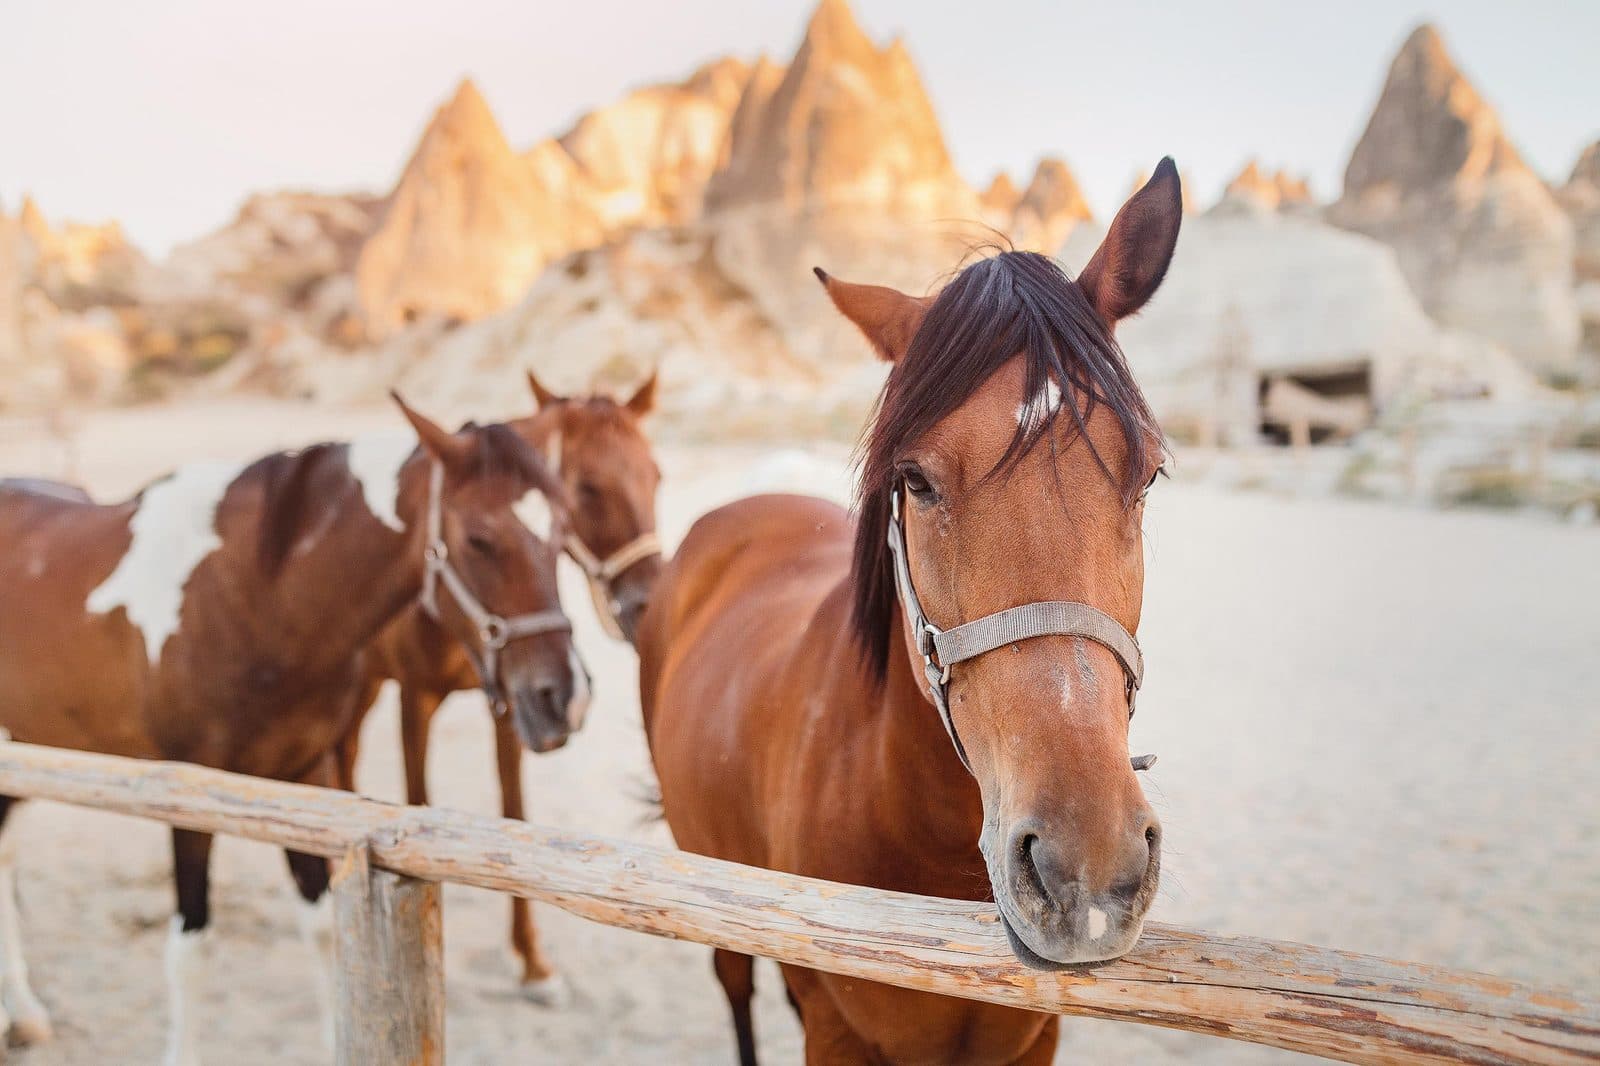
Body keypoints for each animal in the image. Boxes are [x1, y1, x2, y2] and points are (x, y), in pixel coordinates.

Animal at [0, 394, 585, 1064]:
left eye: (562, 535)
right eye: (479, 539)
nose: (562, 698)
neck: (255, 594)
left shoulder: (304, 777)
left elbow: (324, 931)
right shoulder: (189, 793)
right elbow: (190, 950)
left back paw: (24, 1013)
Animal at [333, 370, 662, 1003]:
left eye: (656, 476)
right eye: (586, 490)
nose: (650, 600)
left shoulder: (516, 703)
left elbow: (514, 812)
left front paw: (532, 960)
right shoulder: (415, 697)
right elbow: (417, 801)